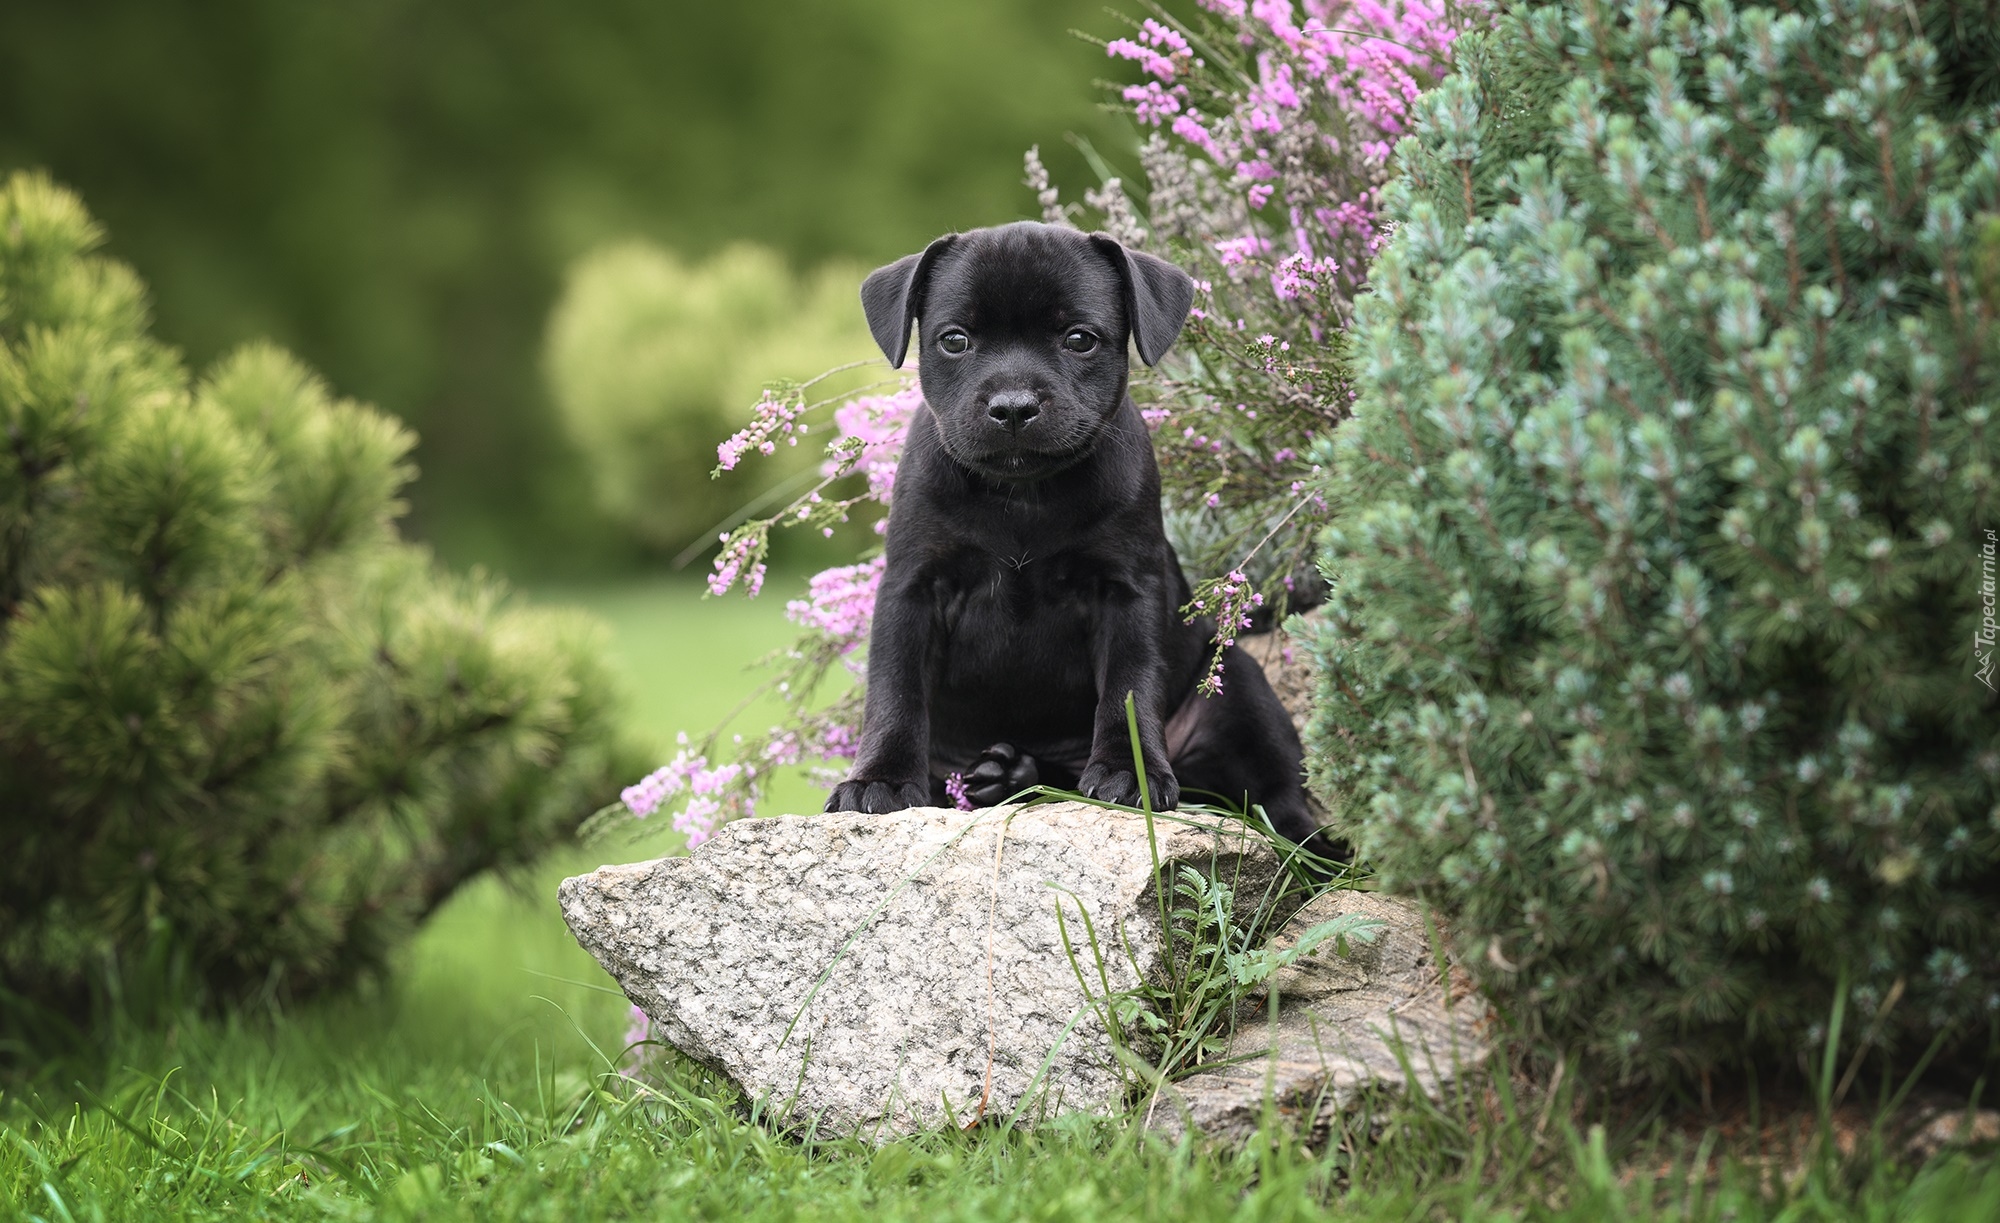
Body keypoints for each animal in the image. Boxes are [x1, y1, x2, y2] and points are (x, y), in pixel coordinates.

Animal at [820, 221, 1320, 851]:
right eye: (955, 340)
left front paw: (1128, 774)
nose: (1013, 406)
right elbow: (895, 691)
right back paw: (1008, 774)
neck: (1023, 495)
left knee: (1282, 799)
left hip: (1242, 691)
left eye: (1080, 339)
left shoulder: (1126, 591)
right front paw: (880, 780)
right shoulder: (912, 590)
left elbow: (1129, 687)